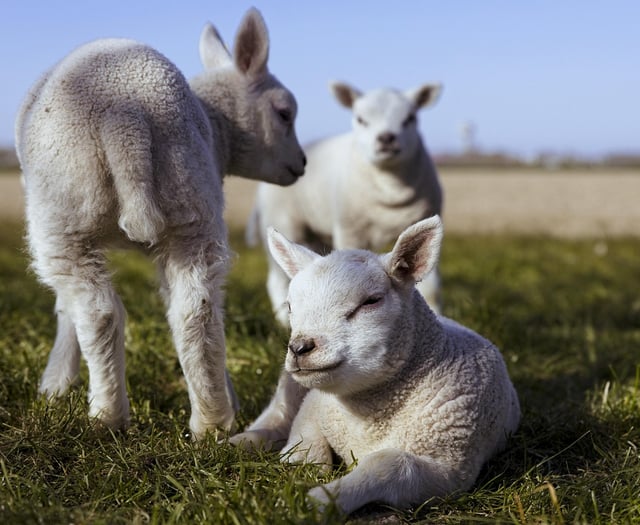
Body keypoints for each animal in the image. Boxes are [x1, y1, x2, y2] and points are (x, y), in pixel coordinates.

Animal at [15, 7, 306, 438]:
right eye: (285, 113)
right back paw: (212, 420)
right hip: (191, 203)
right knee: (195, 311)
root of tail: (126, 116)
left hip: (63, 215)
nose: (302, 164)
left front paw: (54, 385)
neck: (219, 127)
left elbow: (65, 310)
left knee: (97, 312)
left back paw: (107, 417)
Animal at [233, 216, 520, 515]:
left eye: (371, 301)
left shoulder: (451, 470)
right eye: (289, 306)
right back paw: (242, 441)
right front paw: (300, 465)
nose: (299, 348)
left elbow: (388, 463)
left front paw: (319, 500)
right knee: (278, 412)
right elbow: (304, 439)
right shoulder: (314, 403)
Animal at [247, 82, 444, 325]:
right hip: (283, 219)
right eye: (360, 119)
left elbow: (431, 288)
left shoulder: (424, 216)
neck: (390, 189)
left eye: (410, 118)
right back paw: (283, 320)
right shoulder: (350, 229)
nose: (386, 138)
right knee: (277, 279)